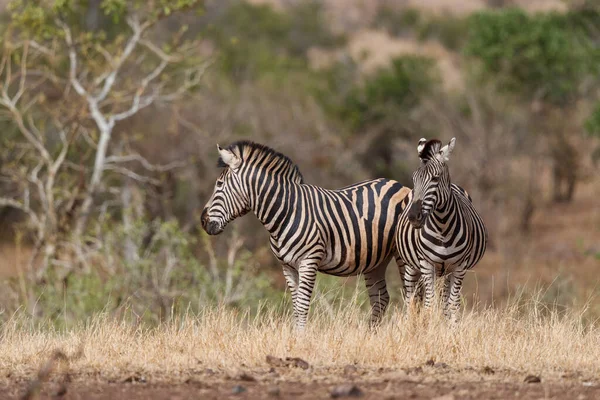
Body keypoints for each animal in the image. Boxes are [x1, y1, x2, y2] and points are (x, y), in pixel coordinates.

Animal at [199, 142, 410, 330]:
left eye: (219, 184)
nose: (202, 221)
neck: (286, 213)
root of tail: (396, 183)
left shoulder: (309, 261)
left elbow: (302, 306)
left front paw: (300, 340)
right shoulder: (287, 266)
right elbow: (295, 307)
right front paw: (295, 337)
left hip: (403, 254)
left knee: (410, 294)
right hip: (375, 260)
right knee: (380, 298)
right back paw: (369, 335)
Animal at [394, 138, 488, 322]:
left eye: (435, 178)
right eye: (413, 178)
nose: (413, 217)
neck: (442, 226)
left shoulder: (460, 266)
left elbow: (452, 305)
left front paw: (451, 329)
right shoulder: (425, 263)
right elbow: (429, 305)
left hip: (447, 271)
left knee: (445, 301)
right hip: (410, 266)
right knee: (410, 300)